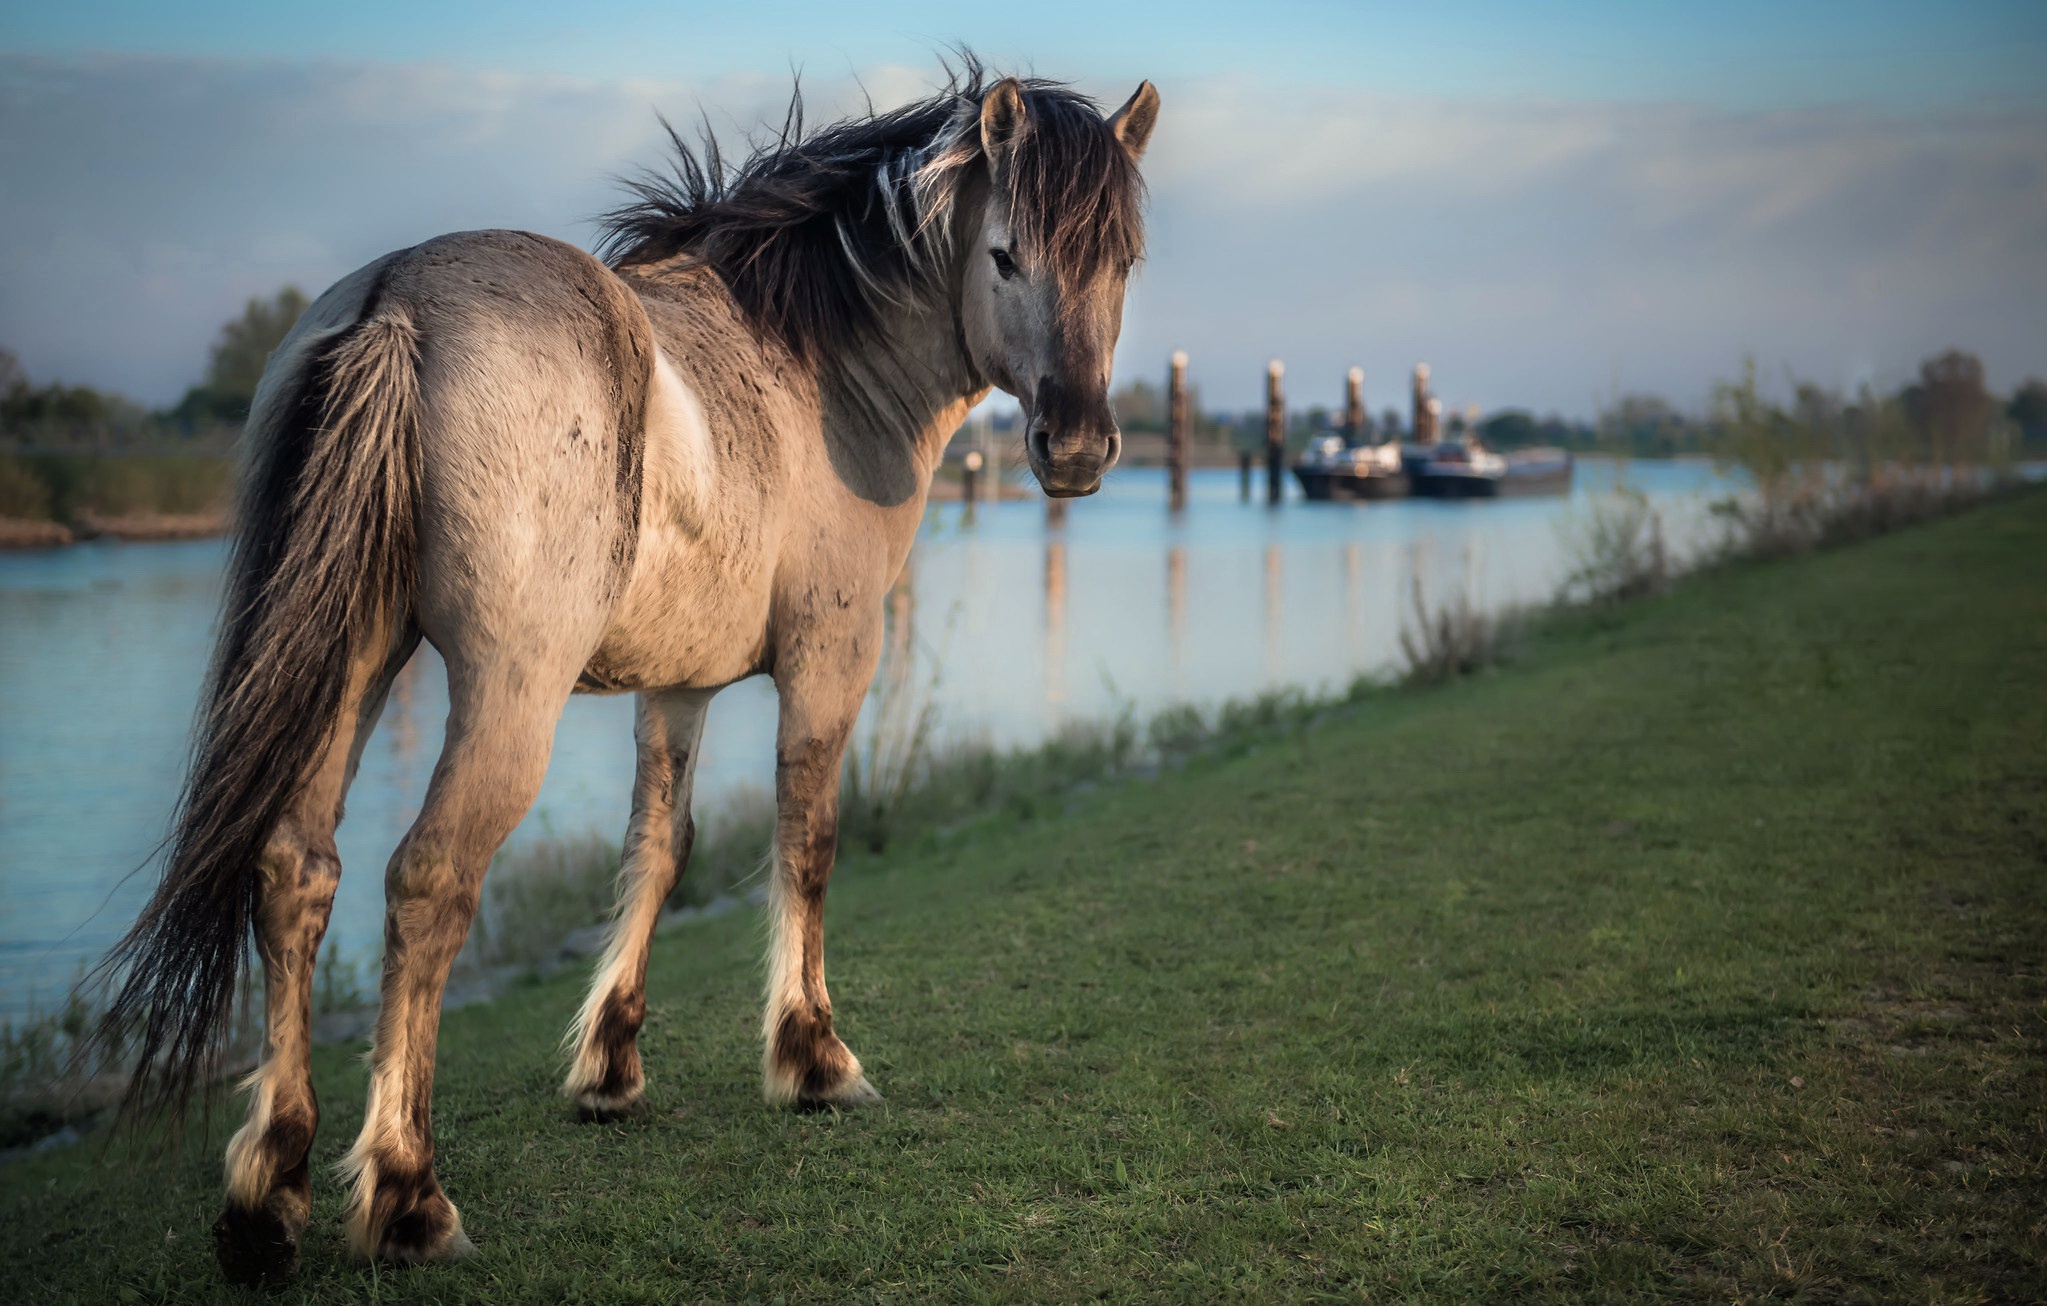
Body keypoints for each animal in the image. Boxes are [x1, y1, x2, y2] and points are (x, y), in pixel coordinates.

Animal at [96, 63, 1162, 1293]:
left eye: (1122, 260)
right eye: (1004, 255)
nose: (1075, 447)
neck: (815, 372)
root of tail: (398, 304)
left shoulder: (678, 685)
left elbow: (660, 847)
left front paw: (610, 1066)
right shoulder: (832, 658)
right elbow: (805, 842)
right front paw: (813, 1058)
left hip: (352, 666)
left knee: (294, 869)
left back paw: (268, 1195)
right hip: (505, 694)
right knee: (428, 884)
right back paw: (407, 1195)